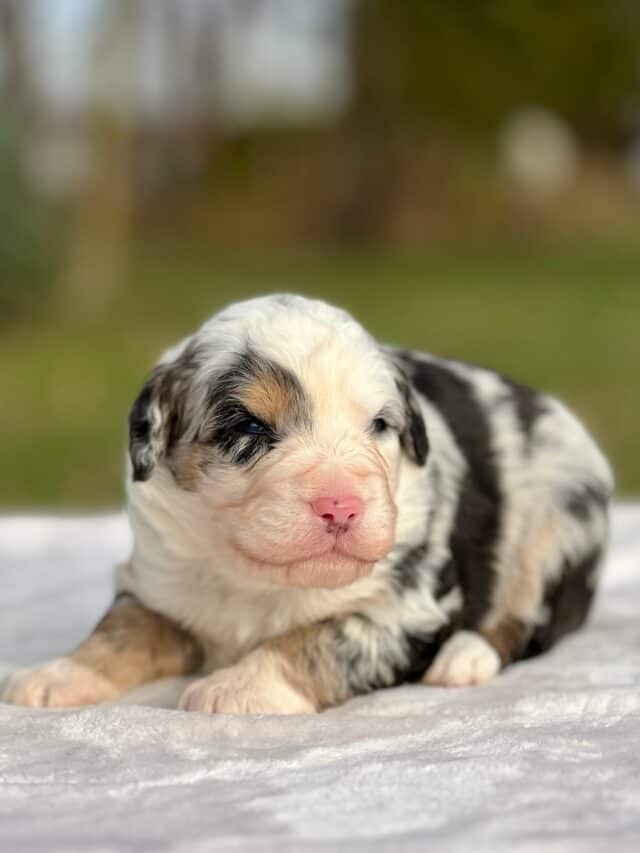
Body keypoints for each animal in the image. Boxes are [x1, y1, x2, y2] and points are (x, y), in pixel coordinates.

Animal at [2, 292, 612, 712]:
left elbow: (320, 639)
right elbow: (121, 629)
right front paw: (55, 675)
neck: (255, 578)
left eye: (380, 425)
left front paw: (234, 687)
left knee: (528, 621)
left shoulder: (407, 608)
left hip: (557, 526)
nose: (341, 506)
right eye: (250, 427)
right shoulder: (157, 579)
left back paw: (464, 658)